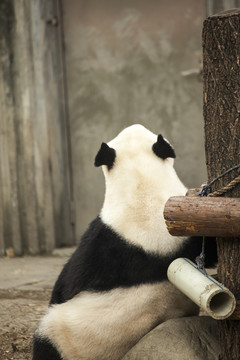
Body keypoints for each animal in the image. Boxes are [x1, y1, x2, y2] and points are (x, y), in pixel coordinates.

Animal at [32, 124, 217, 360]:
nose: (135, 124)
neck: (142, 188)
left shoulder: (100, 242)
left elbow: (68, 283)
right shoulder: (192, 223)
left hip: (66, 334)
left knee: (46, 337)